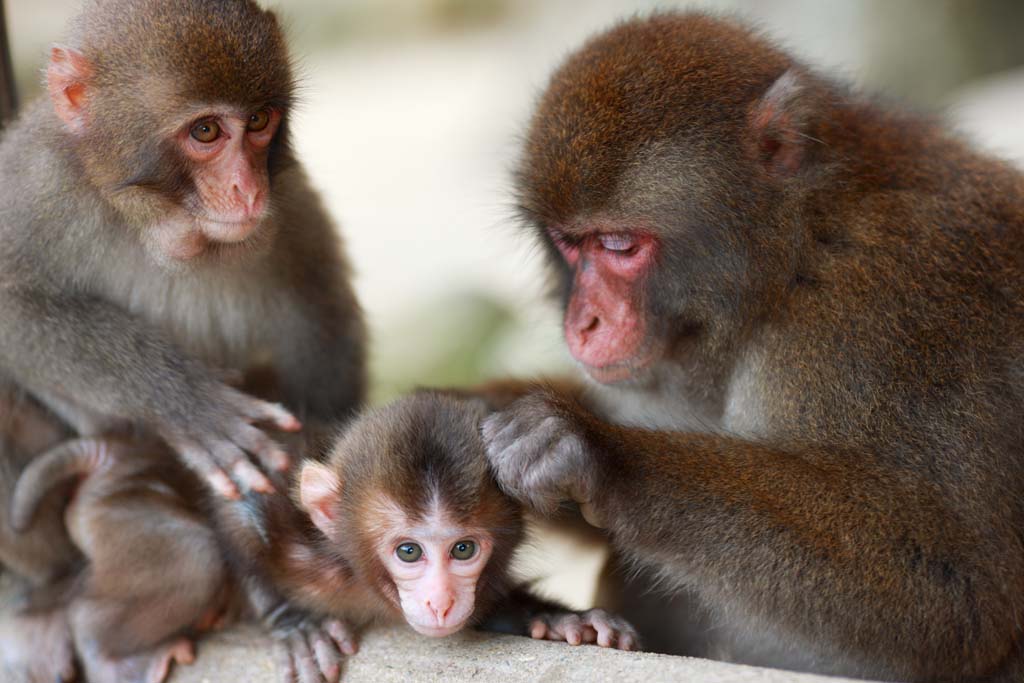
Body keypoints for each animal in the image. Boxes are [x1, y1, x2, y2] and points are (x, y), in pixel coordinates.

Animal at [0, 0, 366, 505]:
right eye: (206, 130)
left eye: (258, 121)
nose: (249, 189)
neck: (151, 225)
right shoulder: (37, 184)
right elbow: (13, 308)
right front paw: (185, 401)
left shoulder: (290, 200)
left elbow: (324, 312)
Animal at [14, 393, 638, 683]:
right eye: (409, 552)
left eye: (463, 549)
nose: (440, 601)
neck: (360, 576)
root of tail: (114, 455)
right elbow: (239, 507)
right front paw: (295, 625)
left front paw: (561, 620)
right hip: (118, 508)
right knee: (194, 555)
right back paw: (107, 650)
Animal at [483, 10, 1024, 683]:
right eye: (568, 245)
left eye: (618, 245)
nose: (582, 320)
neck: (798, 253)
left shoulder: (882, 324)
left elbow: (961, 595)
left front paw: (592, 450)